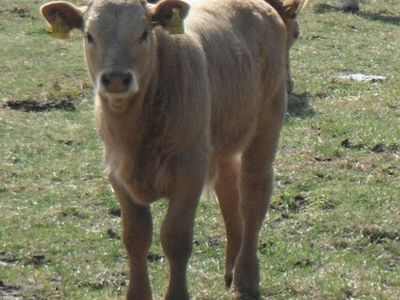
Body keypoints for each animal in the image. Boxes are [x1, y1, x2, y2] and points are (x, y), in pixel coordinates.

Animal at [41, 0, 288, 298]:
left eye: (144, 33)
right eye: (89, 35)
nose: (116, 79)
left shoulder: (189, 170)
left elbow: (176, 237)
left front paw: (177, 293)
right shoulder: (117, 173)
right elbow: (135, 236)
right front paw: (137, 293)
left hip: (268, 117)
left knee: (254, 192)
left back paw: (246, 277)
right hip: (221, 138)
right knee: (229, 190)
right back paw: (230, 269)